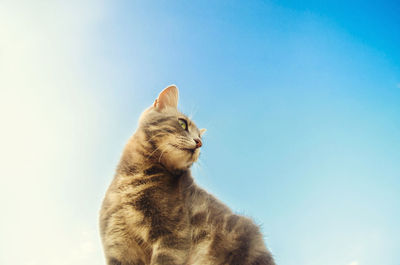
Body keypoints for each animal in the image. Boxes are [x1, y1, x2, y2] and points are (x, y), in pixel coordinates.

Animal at [99, 85, 276, 264]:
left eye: (200, 137)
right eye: (182, 123)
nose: (199, 142)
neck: (131, 178)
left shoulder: (173, 236)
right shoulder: (118, 245)